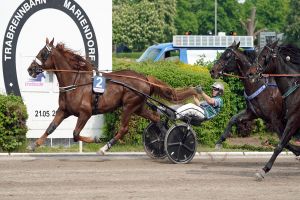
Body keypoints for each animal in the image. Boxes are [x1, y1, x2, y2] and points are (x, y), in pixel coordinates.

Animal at [27, 38, 198, 155]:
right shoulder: (64, 110)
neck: (76, 82)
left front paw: (96, 140)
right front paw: (34, 145)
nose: (30, 69)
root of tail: (144, 78)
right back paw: (162, 141)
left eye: (43, 53)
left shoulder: (85, 113)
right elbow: (51, 127)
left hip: (129, 106)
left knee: (123, 128)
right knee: (156, 118)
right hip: (139, 107)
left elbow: (75, 134)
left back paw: (104, 147)